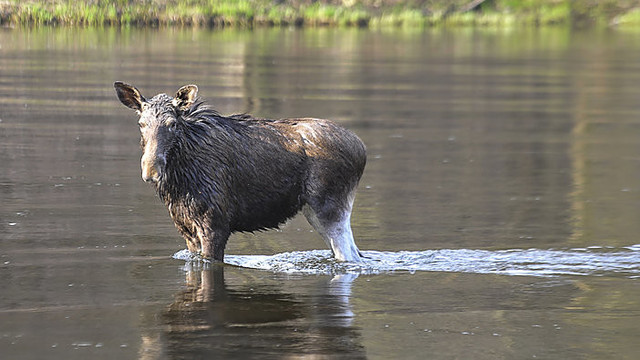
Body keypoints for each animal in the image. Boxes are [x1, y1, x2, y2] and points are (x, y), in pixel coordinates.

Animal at [112, 82, 368, 262]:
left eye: (172, 124)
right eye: (141, 124)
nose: (151, 170)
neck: (179, 180)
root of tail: (362, 149)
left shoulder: (215, 225)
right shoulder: (186, 229)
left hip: (329, 208)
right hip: (315, 210)